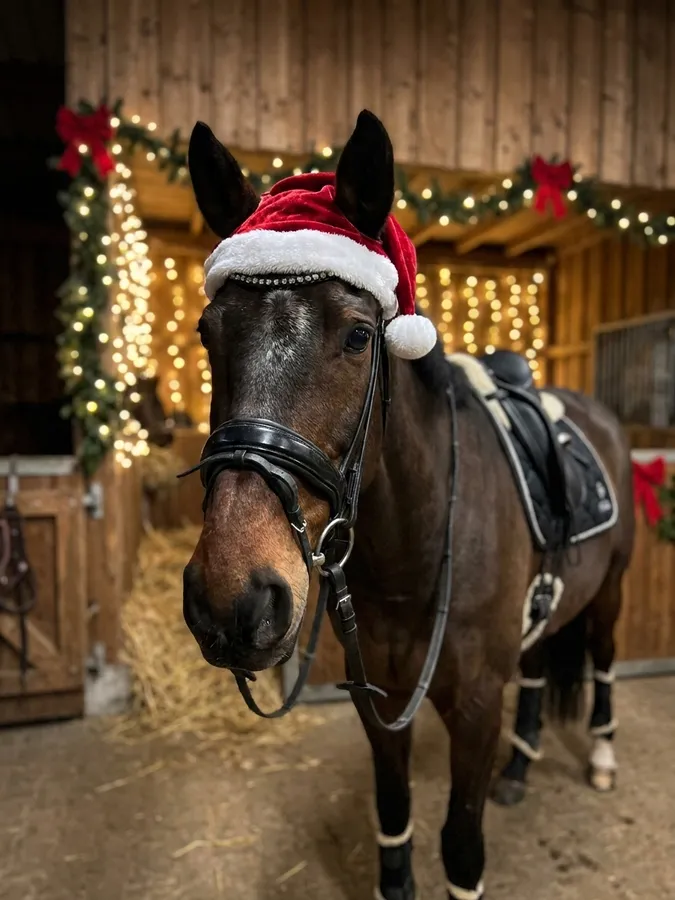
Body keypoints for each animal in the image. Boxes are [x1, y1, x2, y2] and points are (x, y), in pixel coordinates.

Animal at [181, 110, 635, 900]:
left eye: (360, 335)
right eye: (209, 333)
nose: (231, 598)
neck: (410, 552)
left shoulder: (476, 707)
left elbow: (461, 846)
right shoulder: (381, 699)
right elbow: (393, 818)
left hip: (607, 593)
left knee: (602, 661)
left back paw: (601, 757)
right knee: (539, 666)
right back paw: (521, 768)